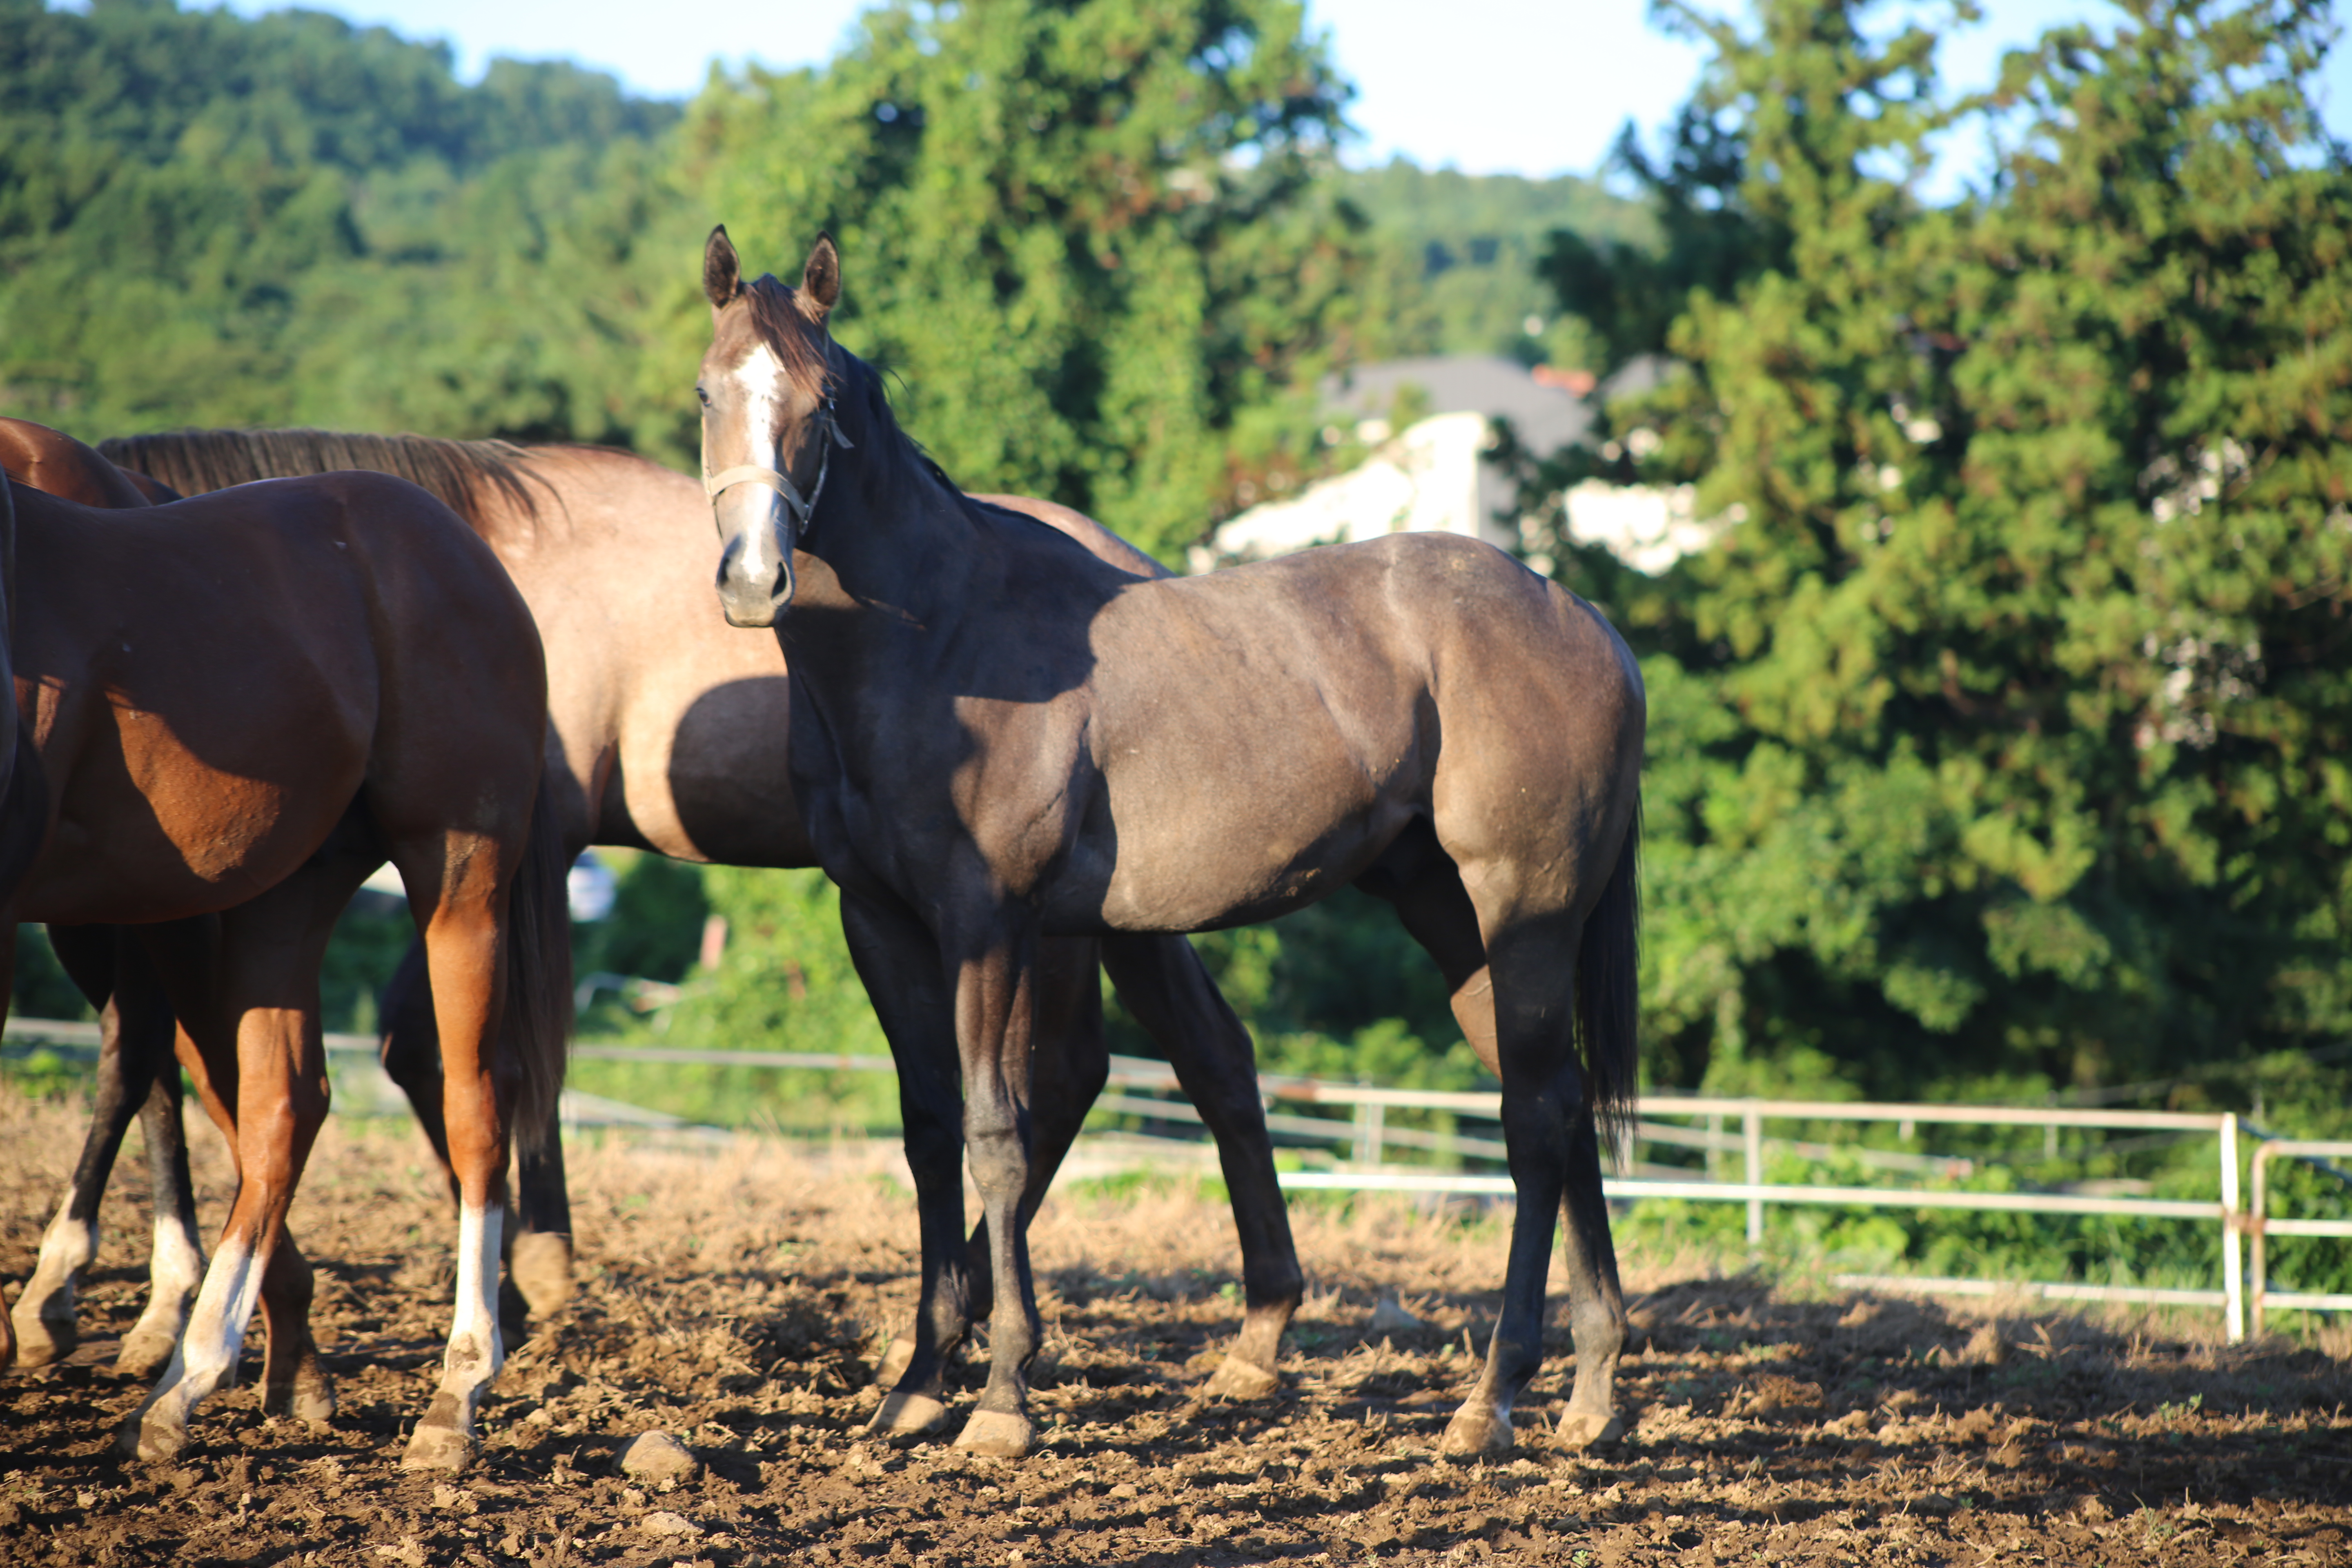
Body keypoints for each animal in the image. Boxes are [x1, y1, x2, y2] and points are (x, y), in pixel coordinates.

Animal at [0, 421, 569, 1476]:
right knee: (281, 1102)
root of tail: (460, 547)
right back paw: (186, 1381)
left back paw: (455, 1388)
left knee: (476, 1098)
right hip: (285, 895)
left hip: (458, 873)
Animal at [87, 421, 1307, 1410]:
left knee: (1093, 1077)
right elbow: (424, 1053)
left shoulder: (521, 851)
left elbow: (511, 1059)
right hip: (1106, 913)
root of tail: (1143, 572)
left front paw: (534, 1268)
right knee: (1183, 1061)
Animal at [696, 232, 1646, 1457]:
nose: (752, 578)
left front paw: (1000, 1396)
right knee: (1559, 1105)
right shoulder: (883, 923)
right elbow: (927, 1132)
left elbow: (997, 1136)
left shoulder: (988, 923)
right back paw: (1591, 1392)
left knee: (1531, 1124)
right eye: (709, 393)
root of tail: (1589, 625)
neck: (940, 642)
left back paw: (1490, 1399)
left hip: (1522, 910)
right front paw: (914, 1385)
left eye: (819, 405)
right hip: (1457, 923)